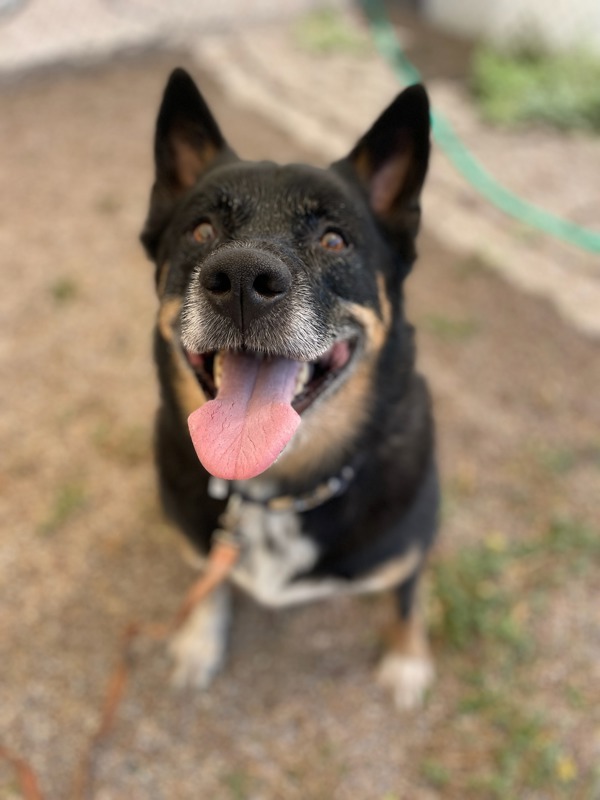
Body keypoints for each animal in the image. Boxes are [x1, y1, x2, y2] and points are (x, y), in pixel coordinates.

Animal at [141, 67, 440, 708]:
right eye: (201, 230)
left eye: (334, 240)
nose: (242, 280)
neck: (276, 493)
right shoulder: (203, 546)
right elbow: (210, 584)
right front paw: (199, 641)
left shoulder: (411, 549)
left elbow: (406, 597)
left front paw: (407, 659)